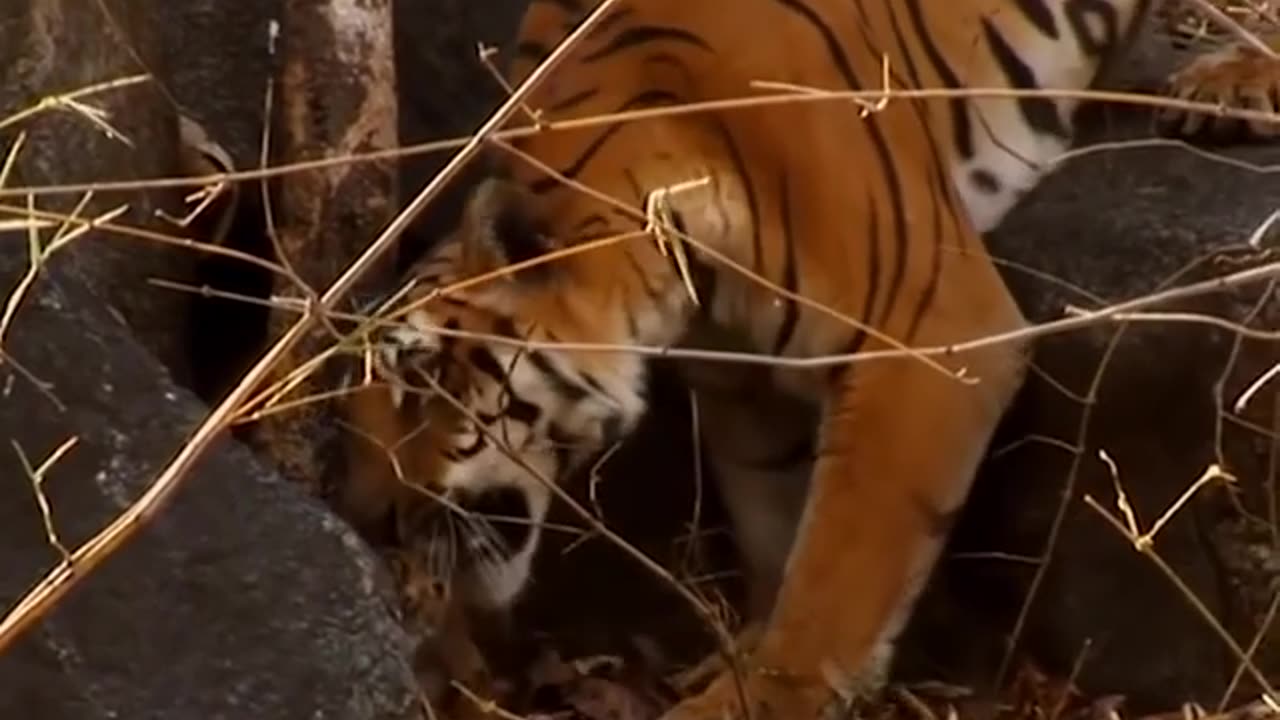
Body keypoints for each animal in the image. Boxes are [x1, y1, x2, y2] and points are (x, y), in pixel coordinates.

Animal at [345, 2, 1280, 712]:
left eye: (420, 381)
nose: (371, 521)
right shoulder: (745, 390)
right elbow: (777, 532)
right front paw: (741, 655)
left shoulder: (926, 337)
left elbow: (837, 575)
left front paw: (756, 696)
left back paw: (1233, 83)